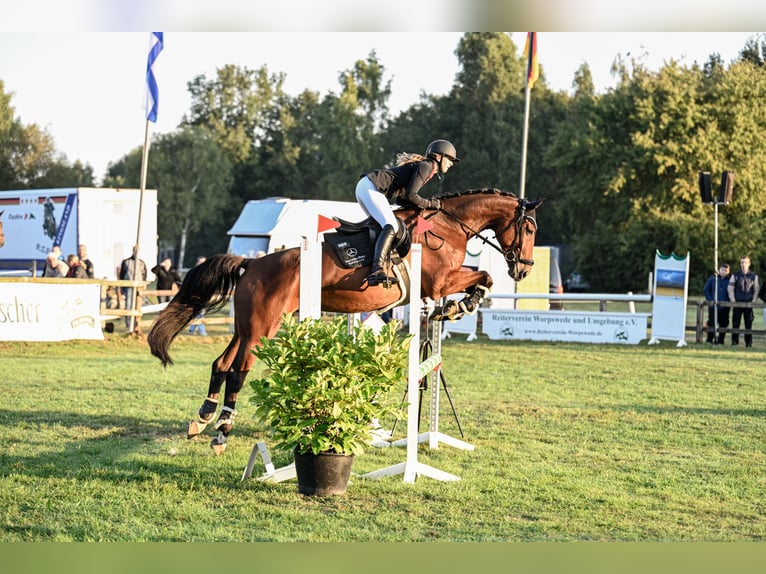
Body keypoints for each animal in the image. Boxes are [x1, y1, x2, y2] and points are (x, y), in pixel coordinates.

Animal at [148, 189, 544, 454]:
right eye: (529, 230)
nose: (523, 270)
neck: (448, 227)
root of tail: (252, 262)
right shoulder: (439, 281)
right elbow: (483, 278)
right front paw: (458, 307)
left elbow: (483, 278)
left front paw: (452, 309)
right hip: (263, 329)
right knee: (237, 371)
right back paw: (222, 432)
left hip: (248, 327)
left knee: (221, 363)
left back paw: (202, 419)